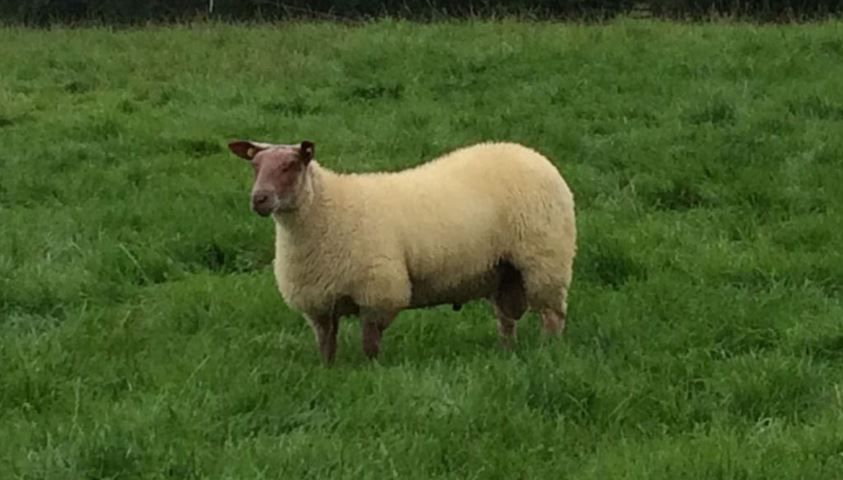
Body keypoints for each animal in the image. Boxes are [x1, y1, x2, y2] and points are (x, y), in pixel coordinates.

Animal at [226, 139, 576, 364]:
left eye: (291, 165)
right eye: (255, 166)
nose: (259, 199)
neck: (326, 209)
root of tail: (531, 154)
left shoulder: (378, 292)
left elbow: (369, 343)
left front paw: (371, 372)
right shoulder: (319, 304)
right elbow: (326, 347)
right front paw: (328, 373)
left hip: (545, 260)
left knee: (552, 316)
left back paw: (550, 352)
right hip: (503, 272)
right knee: (506, 319)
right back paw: (506, 353)